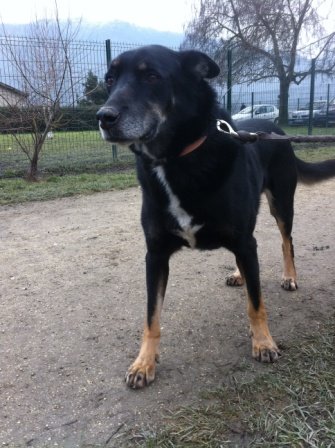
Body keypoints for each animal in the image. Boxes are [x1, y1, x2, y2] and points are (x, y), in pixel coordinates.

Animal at [96, 44, 335, 388]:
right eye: (110, 79)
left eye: (152, 76)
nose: (104, 117)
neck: (175, 159)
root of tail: (277, 130)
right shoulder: (155, 254)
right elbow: (151, 316)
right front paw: (144, 363)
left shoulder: (245, 241)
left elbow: (256, 303)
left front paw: (263, 342)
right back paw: (239, 274)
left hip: (281, 204)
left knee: (286, 241)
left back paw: (289, 276)